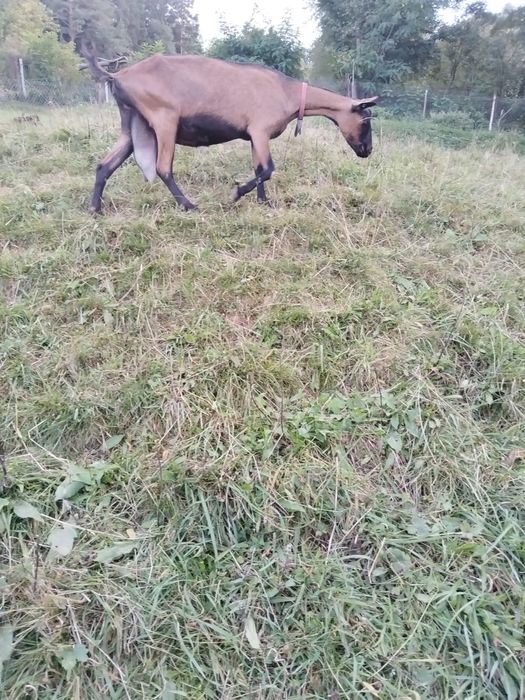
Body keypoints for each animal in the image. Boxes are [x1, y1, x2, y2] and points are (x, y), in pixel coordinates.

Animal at [81, 44, 377, 213]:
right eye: (366, 120)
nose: (367, 151)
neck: (289, 92)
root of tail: (116, 75)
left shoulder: (255, 137)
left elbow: (259, 169)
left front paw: (264, 203)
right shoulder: (260, 130)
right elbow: (268, 169)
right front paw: (236, 194)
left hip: (132, 123)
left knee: (105, 164)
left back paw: (95, 209)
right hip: (164, 119)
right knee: (163, 167)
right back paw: (189, 205)